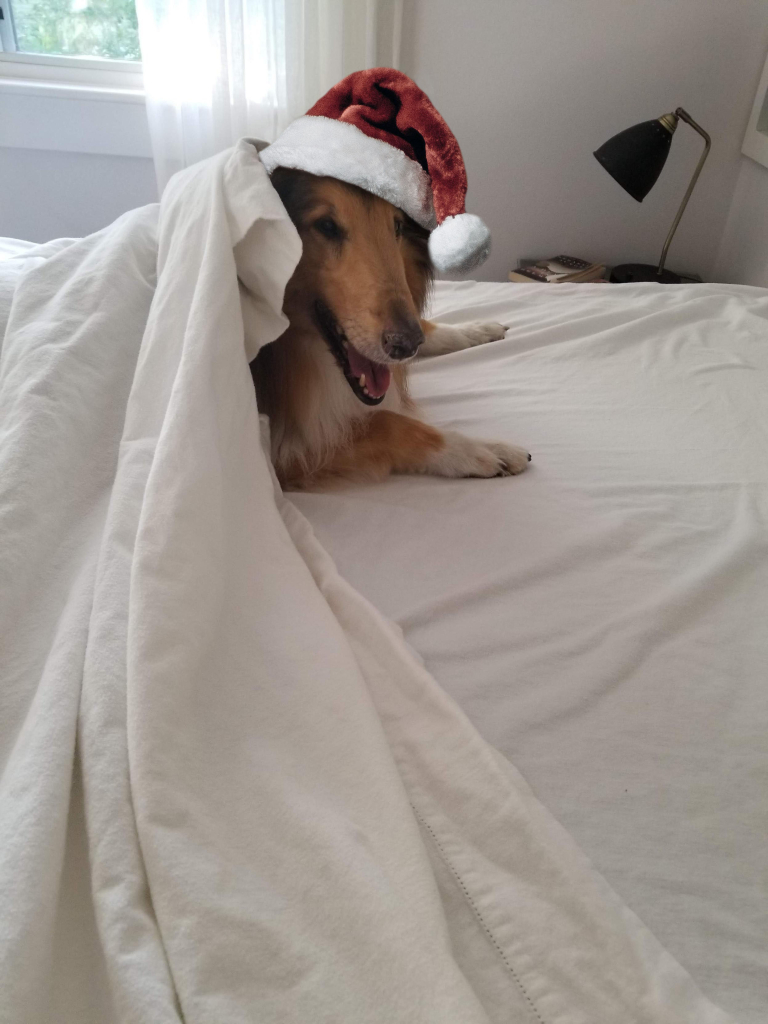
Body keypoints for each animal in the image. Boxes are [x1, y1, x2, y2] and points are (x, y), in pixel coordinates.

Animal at [252, 165, 528, 489]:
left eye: (397, 227)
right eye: (326, 226)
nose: (405, 345)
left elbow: (428, 329)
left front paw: (477, 329)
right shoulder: (282, 451)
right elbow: (388, 422)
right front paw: (480, 449)